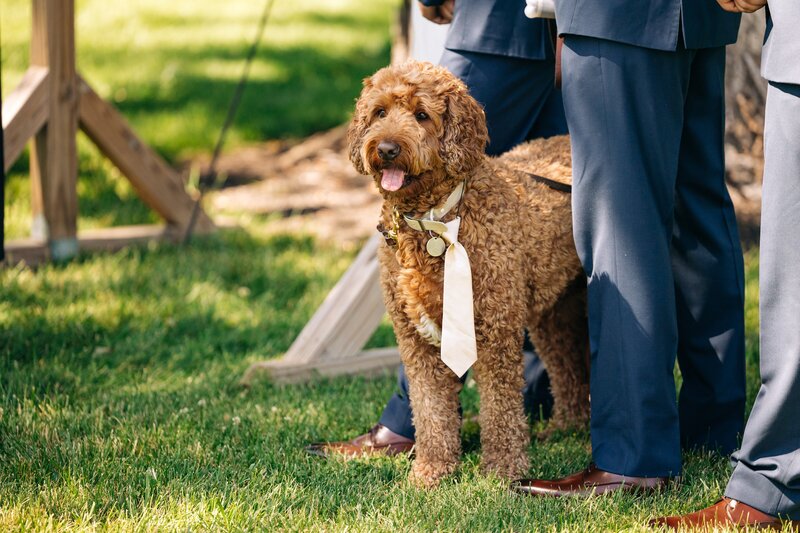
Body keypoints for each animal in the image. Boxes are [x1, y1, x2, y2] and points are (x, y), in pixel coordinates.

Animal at [346, 60, 592, 488]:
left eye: (421, 115)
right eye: (379, 112)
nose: (387, 149)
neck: (433, 221)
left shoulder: (495, 332)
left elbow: (500, 408)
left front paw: (502, 471)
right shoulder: (416, 341)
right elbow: (431, 411)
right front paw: (431, 472)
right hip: (555, 311)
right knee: (566, 366)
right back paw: (566, 426)